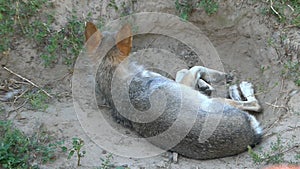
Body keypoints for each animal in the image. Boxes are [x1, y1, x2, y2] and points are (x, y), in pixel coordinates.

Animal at [86, 21, 262, 159]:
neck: (111, 69)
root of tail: (252, 135)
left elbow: (184, 70)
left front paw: (205, 84)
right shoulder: (185, 84)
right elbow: (192, 68)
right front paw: (216, 78)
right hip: (218, 102)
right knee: (255, 105)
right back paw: (241, 88)